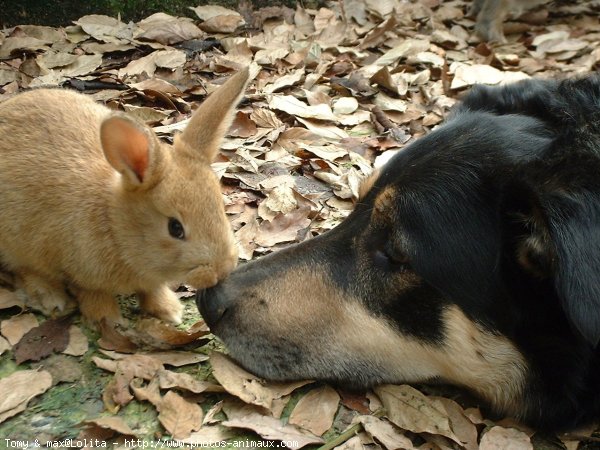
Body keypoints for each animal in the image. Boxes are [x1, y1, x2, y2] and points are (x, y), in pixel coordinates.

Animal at [0, 67, 250, 326]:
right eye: (175, 228)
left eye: (220, 208)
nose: (221, 270)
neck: (115, 227)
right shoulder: (83, 275)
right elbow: (94, 295)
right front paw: (110, 320)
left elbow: (152, 291)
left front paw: (170, 312)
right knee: (26, 270)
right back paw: (53, 299)